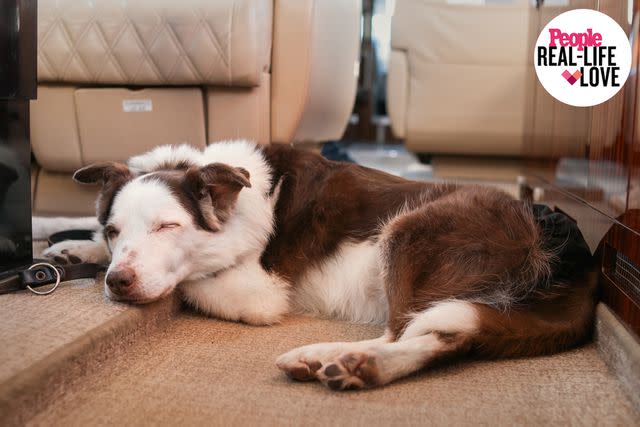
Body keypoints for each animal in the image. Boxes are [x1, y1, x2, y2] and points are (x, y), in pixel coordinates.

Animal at [43, 140, 596, 392]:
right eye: (116, 231)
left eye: (167, 227)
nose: (118, 284)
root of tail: (574, 247)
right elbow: (83, 232)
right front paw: (71, 247)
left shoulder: (256, 291)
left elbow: (187, 281)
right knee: (445, 336)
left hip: (411, 230)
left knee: (408, 332)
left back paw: (342, 358)